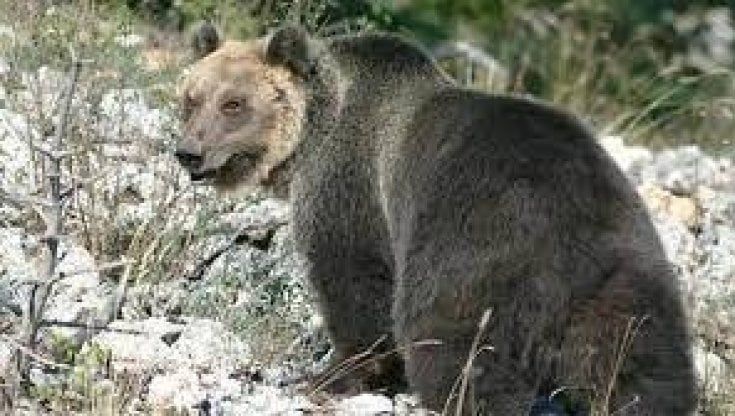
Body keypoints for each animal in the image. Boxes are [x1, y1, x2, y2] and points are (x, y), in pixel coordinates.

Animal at [175, 24, 695, 415]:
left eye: (234, 103)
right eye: (191, 97)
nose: (189, 153)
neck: (312, 133)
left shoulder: (350, 187)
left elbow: (351, 281)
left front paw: (327, 374)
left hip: (471, 257)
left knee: (457, 352)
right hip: (626, 282)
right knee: (641, 374)